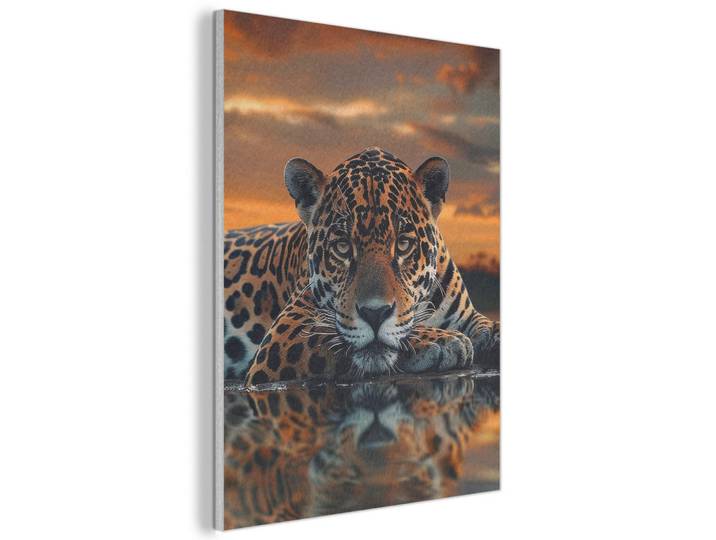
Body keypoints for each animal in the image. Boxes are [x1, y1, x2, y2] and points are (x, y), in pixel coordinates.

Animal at [223, 146, 499, 386]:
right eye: (342, 246)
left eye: (403, 244)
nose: (374, 313)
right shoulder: (283, 334)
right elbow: (329, 336)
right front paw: (443, 341)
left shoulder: (467, 316)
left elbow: (485, 326)